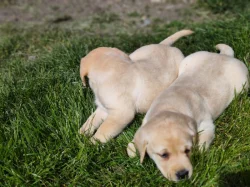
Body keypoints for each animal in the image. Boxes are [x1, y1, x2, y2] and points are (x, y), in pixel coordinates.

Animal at [128, 43, 249, 181]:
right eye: (164, 155)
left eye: (187, 150)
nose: (182, 174)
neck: (169, 106)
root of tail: (224, 56)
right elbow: (132, 145)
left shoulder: (206, 124)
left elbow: (203, 142)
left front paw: (198, 154)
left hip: (243, 84)